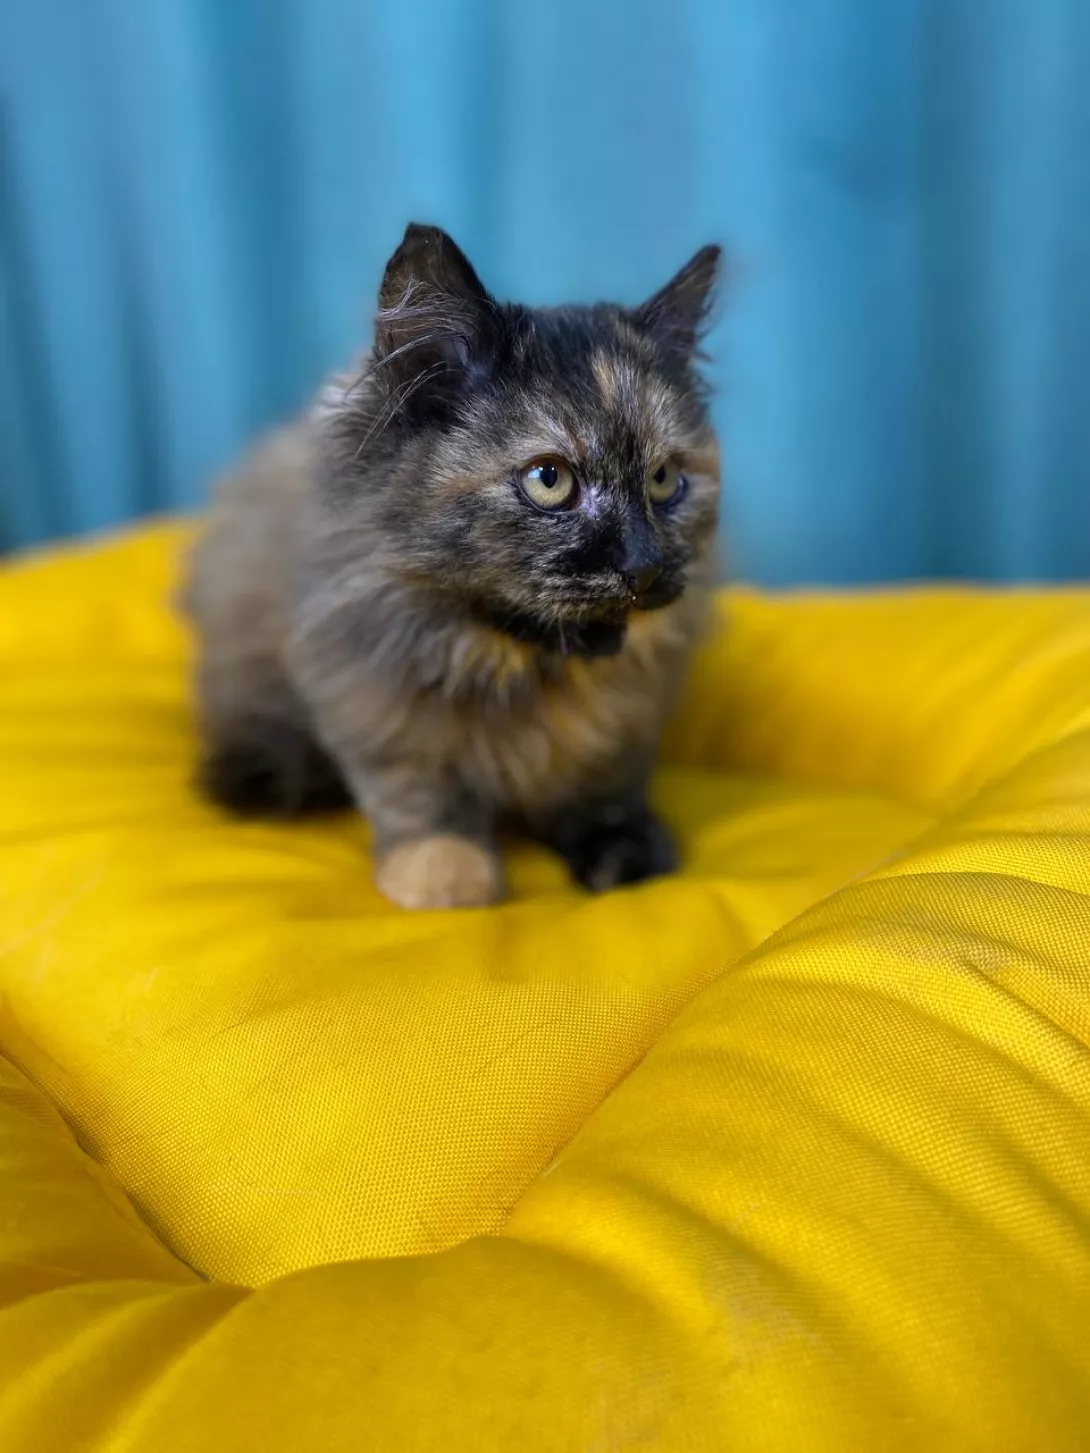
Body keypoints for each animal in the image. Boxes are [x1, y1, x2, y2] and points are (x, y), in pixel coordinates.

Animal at [182, 223, 722, 910]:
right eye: (549, 480)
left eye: (663, 480)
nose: (644, 566)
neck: (528, 654)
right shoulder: (373, 690)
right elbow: (418, 787)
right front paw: (445, 870)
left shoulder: (629, 717)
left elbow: (606, 780)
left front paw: (621, 849)